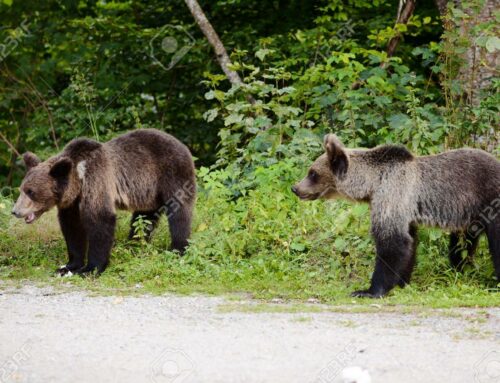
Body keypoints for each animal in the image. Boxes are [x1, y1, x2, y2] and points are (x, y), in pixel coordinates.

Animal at [11, 129, 195, 276]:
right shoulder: (72, 203)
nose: (15, 211)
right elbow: (72, 229)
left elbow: (100, 221)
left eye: (31, 192)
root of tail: (181, 144)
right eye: (22, 189)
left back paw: (178, 249)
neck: (79, 179)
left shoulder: (97, 180)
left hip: (172, 173)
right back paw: (133, 245)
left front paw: (90, 268)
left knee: (179, 214)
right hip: (148, 192)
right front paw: (68, 266)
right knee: (143, 218)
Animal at [292, 135, 500, 300]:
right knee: (461, 245)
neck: (372, 184)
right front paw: (402, 282)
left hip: (490, 200)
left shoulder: (392, 194)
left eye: (312, 173)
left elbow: (392, 243)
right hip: (471, 217)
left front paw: (368, 290)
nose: (295, 188)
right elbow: (409, 243)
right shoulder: (405, 212)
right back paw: (462, 268)